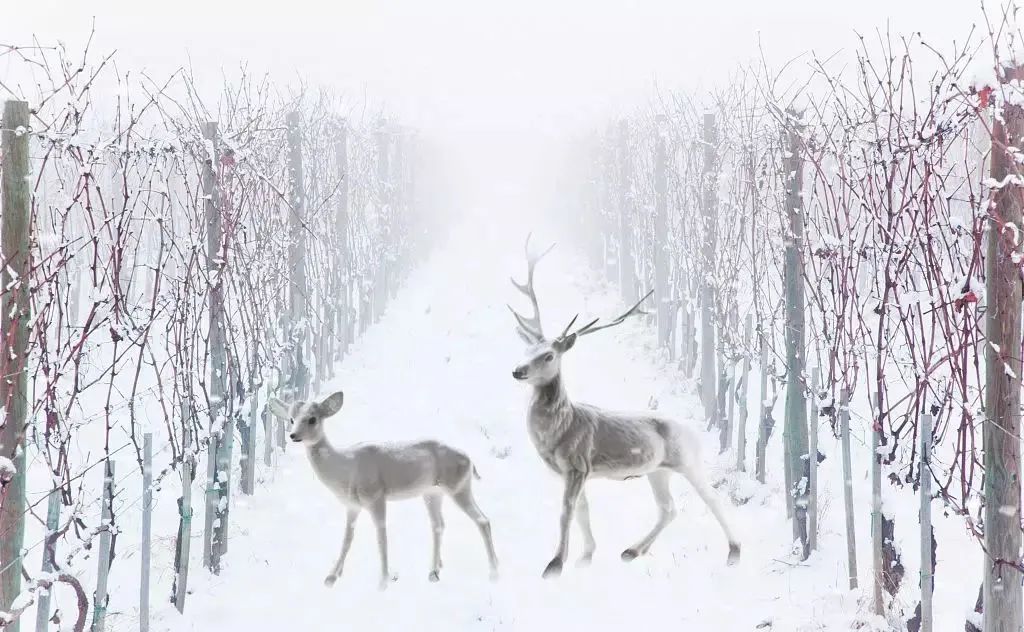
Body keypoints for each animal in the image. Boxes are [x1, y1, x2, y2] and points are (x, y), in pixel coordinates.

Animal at [268, 391, 499, 590]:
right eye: (291, 419)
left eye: (312, 419)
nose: (293, 435)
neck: (345, 467)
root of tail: (470, 461)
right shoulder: (352, 505)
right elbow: (347, 538)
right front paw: (331, 577)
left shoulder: (376, 496)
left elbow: (381, 536)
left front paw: (383, 582)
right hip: (432, 493)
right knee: (439, 525)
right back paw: (434, 573)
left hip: (458, 486)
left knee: (482, 520)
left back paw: (494, 573)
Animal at [507, 236, 741, 577]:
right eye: (527, 349)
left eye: (549, 355)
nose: (517, 371)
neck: (558, 433)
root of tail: (697, 433)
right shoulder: (574, 471)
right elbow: (583, 510)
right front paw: (585, 556)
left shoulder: (577, 463)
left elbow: (567, 511)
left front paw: (555, 564)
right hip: (658, 470)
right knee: (668, 508)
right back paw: (631, 550)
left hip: (688, 460)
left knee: (712, 498)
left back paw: (735, 551)